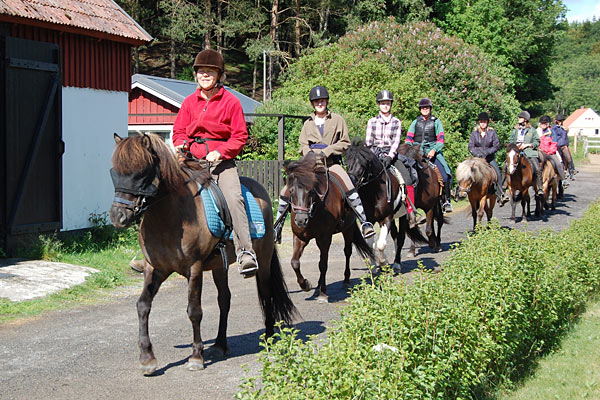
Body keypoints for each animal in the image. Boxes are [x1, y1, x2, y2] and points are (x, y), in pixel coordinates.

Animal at [109, 134, 296, 376]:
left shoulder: (194, 268)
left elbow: (194, 311)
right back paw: (219, 345)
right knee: (224, 300)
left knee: (266, 294)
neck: (171, 217)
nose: (118, 216)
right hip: (218, 267)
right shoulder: (156, 268)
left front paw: (196, 356)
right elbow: (142, 306)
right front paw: (147, 358)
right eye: (114, 172)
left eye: (141, 173)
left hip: (262, 262)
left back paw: (269, 337)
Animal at [282, 152, 372, 302]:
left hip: (348, 229)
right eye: (291, 191)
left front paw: (323, 294)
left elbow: (323, 264)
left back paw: (345, 281)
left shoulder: (325, 238)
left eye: (310, 191)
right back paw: (317, 287)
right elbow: (295, 262)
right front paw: (305, 285)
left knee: (347, 252)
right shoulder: (300, 238)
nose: (301, 220)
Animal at [344, 141, 428, 272]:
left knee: (400, 238)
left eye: (363, 164)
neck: (374, 192)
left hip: (402, 216)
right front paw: (374, 266)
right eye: (347, 163)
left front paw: (383, 262)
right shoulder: (369, 220)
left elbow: (381, 244)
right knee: (394, 236)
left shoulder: (386, 218)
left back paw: (397, 264)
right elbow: (371, 243)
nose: (351, 181)